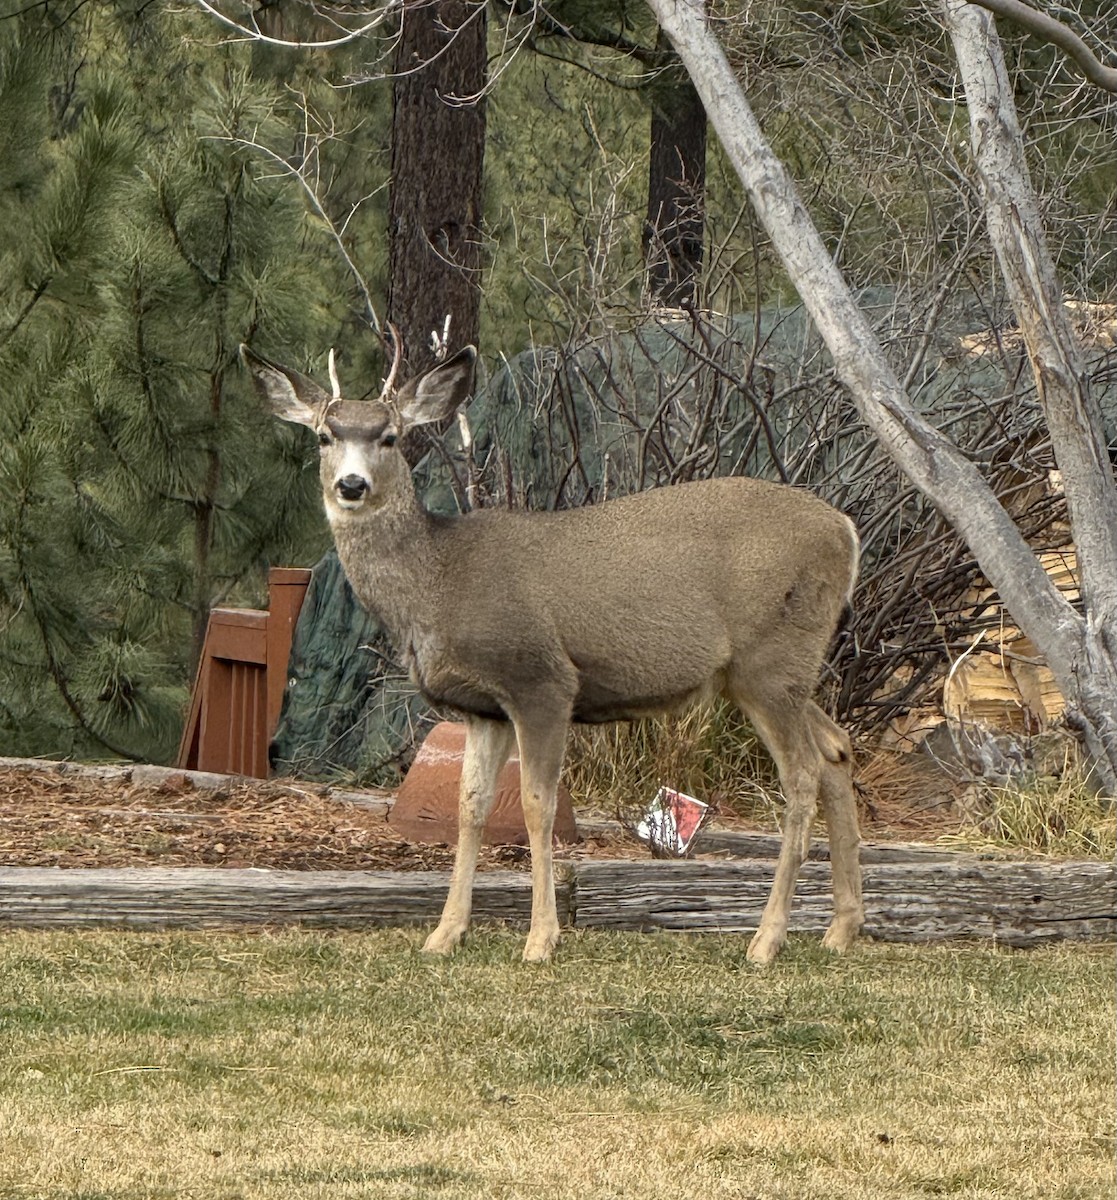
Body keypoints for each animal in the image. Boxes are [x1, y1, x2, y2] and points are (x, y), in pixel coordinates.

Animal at [243, 337, 864, 966]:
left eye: (389, 436)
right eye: (325, 435)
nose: (351, 485)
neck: (438, 581)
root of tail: (847, 529)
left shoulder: (540, 680)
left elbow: (536, 806)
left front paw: (541, 938)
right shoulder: (483, 708)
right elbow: (470, 807)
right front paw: (445, 934)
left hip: (771, 659)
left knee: (803, 774)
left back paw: (767, 939)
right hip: (771, 672)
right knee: (836, 749)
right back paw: (840, 929)